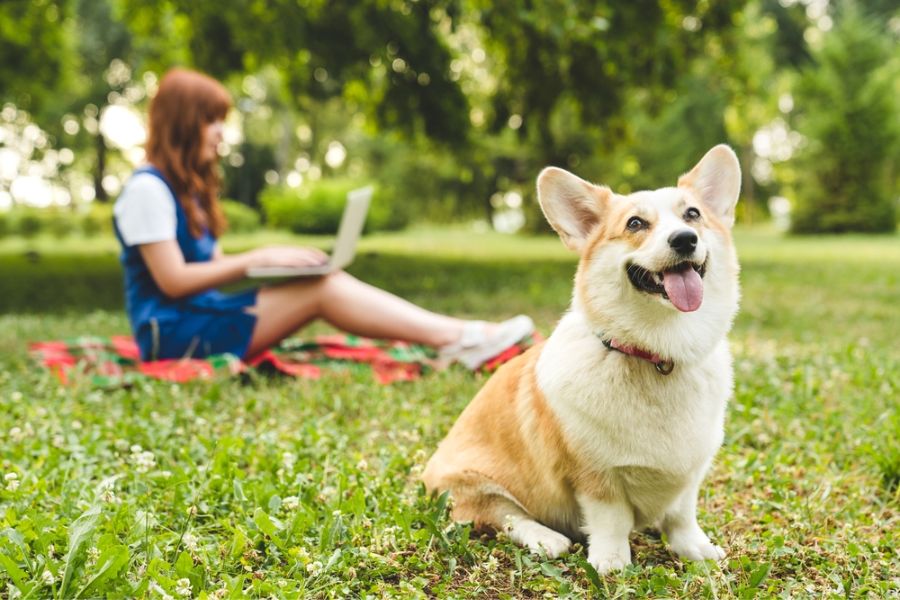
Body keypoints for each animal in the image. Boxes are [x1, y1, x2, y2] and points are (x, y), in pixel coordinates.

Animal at [426, 144, 740, 572]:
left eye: (692, 214)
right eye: (635, 223)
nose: (685, 239)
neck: (659, 353)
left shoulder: (690, 475)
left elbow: (681, 517)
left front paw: (696, 550)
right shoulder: (594, 476)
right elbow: (611, 520)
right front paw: (612, 563)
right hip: (474, 484)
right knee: (504, 517)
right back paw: (547, 539)